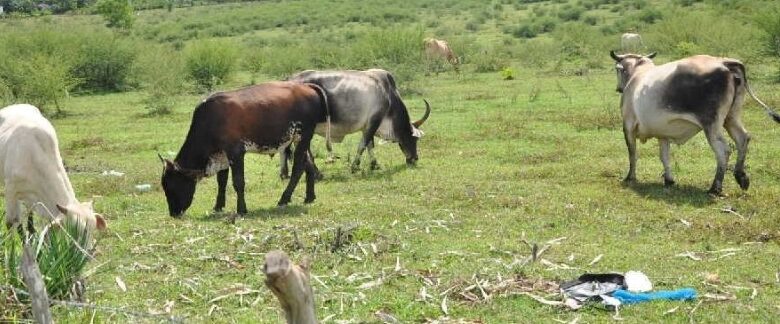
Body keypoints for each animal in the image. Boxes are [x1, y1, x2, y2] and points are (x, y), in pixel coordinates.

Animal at [158, 81, 330, 218]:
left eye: (171, 186)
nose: (173, 213)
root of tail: (305, 86)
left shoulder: (236, 152)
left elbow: (238, 182)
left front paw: (241, 209)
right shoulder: (222, 154)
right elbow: (222, 181)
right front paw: (218, 206)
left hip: (303, 136)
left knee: (298, 168)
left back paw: (284, 199)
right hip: (297, 140)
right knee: (308, 163)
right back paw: (309, 197)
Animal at [280, 67, 430, 177]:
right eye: (413, 139)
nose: (414, 159)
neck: (388, 94)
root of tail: (289, 80)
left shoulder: (367, 125)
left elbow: (369, 145)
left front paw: (374, 164)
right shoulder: (374, 121)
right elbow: (363, 145)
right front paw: (355, 166)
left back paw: (285, 174)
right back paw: (316, 173)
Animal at [608, 50, 780, 195]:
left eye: (618, 70)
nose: (618, 88)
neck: (637, 74)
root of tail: (724, 62)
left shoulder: (628, 126)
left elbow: (632, 154)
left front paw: (630, 177)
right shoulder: (662, 133)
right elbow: (665, 157)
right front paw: (669, 180)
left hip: (711, 125)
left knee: (723, 150)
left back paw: (715, 187)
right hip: (731, 117)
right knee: (743, 138)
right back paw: (741, 177)